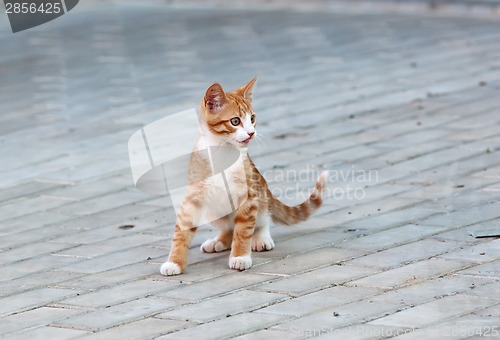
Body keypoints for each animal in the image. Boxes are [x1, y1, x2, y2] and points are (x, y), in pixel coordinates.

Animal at [160, 75, 328, 274]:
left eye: (252, 118)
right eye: (235, 121)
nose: (251, 132)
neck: (223, 152)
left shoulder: (248, 195)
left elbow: (243, 229)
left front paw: (240, 256)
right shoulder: (193, 197)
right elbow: (182, 230)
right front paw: (174, 262)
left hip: (261, 192)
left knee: (262, 218)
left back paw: (261, 238)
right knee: (228, 226)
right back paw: (219, 241)